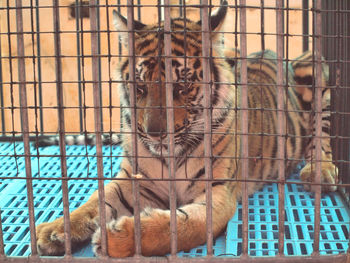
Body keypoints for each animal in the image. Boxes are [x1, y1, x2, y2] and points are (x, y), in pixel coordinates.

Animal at [34, 1, 336, 258]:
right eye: (140, 87)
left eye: (182, 86)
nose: (154, 133)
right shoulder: (132, 178)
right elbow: (97, 200)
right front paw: (55, 230)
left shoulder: (217, 194)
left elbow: (178, 227)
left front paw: (115, 239)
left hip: (317, 70)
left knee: (322, 137)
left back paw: (319, 173)